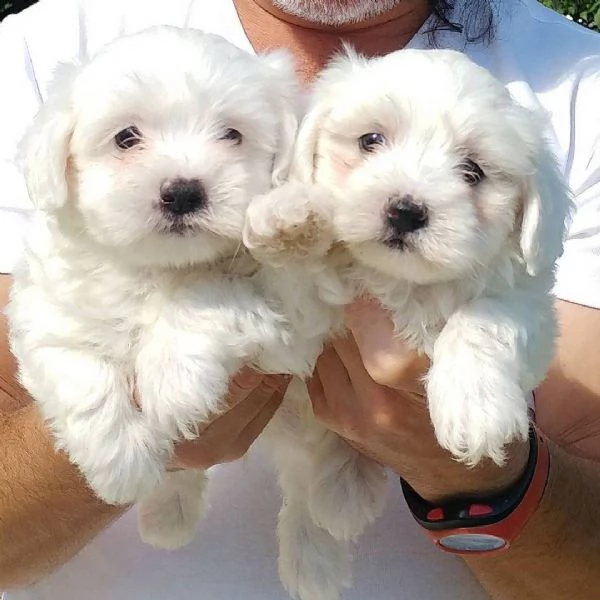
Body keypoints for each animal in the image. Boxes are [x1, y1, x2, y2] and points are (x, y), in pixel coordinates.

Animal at [3, 27, 310, 552]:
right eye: (126, 138)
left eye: (232, 134)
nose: (183, 192)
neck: (157, 266)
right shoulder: (47, 312)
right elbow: (79, 370)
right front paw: (121, 462)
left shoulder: (294, 323)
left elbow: (203, 292)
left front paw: (174, 382)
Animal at [245, 47, 572, 600]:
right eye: (370, 141)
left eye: (472, 171)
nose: (405, 210)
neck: (399, 283)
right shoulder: (300, 332)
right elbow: (294, 290)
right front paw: (287, 211)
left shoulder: (529, 305)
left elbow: (486, 316)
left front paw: (474, 409)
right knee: (302, 467)